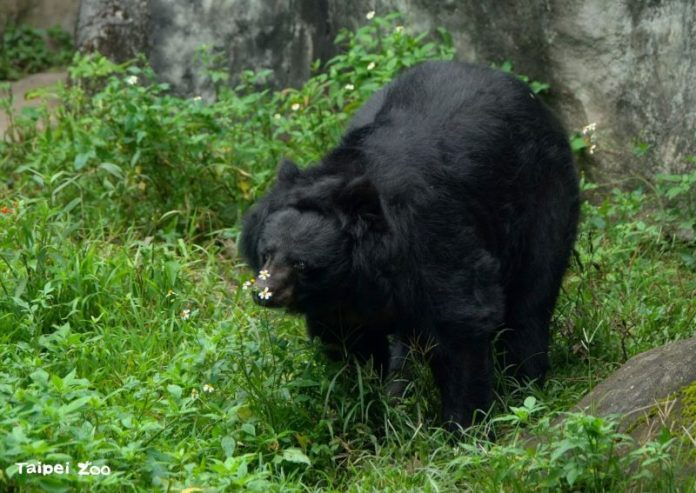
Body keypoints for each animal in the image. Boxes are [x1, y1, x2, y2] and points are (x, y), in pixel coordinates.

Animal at [242, 60, 580, 426]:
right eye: (266, 254)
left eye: (302, 264)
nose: (263, 293)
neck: (356, 274)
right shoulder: (341, 305)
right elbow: (352, 349)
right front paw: (366, 410)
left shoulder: (430, 236)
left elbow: (461, 320)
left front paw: (465, 426)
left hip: (542, 199)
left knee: (531, 298)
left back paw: (525, 387)